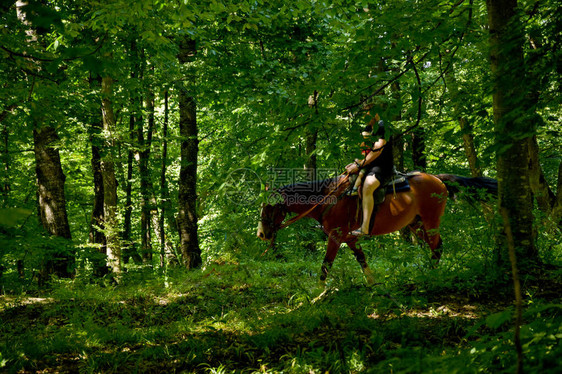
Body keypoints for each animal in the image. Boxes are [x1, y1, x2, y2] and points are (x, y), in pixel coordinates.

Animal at [256, 172, 496, 284]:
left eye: (269, 206)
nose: (261, 234)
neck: (328, 198)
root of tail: (438, 178)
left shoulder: (335, 237)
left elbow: (325, 265)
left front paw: (317, 294)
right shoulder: (350, 238)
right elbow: (362, 260)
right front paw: (373, 284)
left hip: (430, 221)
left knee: (437, 247)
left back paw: (432, 275)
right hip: (417, 224)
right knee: (435, 247)